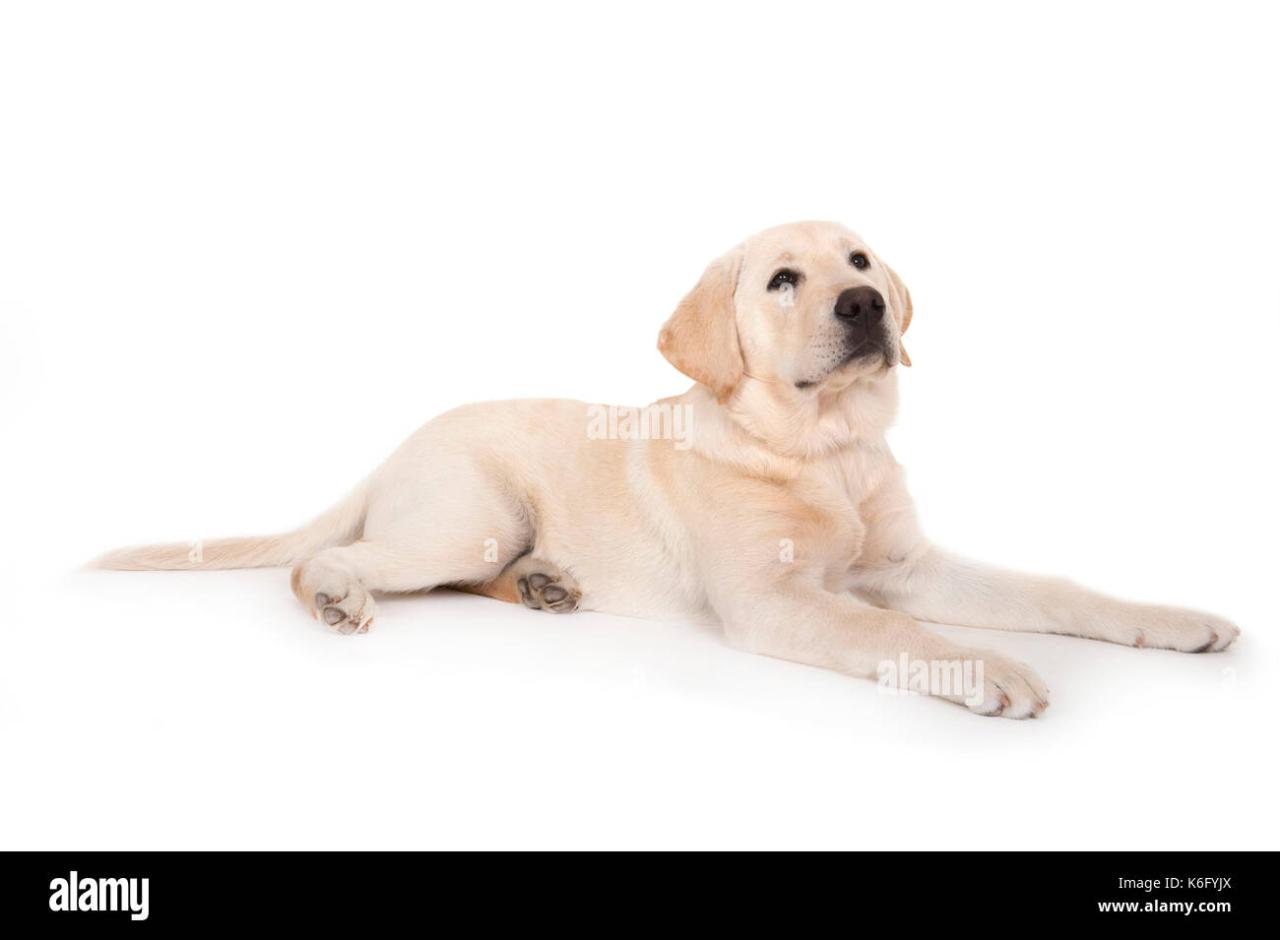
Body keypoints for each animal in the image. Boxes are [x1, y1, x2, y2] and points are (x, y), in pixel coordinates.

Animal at [99, 222, 1239, 722]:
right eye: (781, 280)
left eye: (860, 262)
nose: (864, 305)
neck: (822, 450)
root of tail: (389, 448)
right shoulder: (774, 601)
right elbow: (892, 631)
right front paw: (984, 666)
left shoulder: (908, 564)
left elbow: (1056, 590)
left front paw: (1175, 620)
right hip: (471, 511)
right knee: (332, 560)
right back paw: (339, 593)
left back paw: (546, 585)